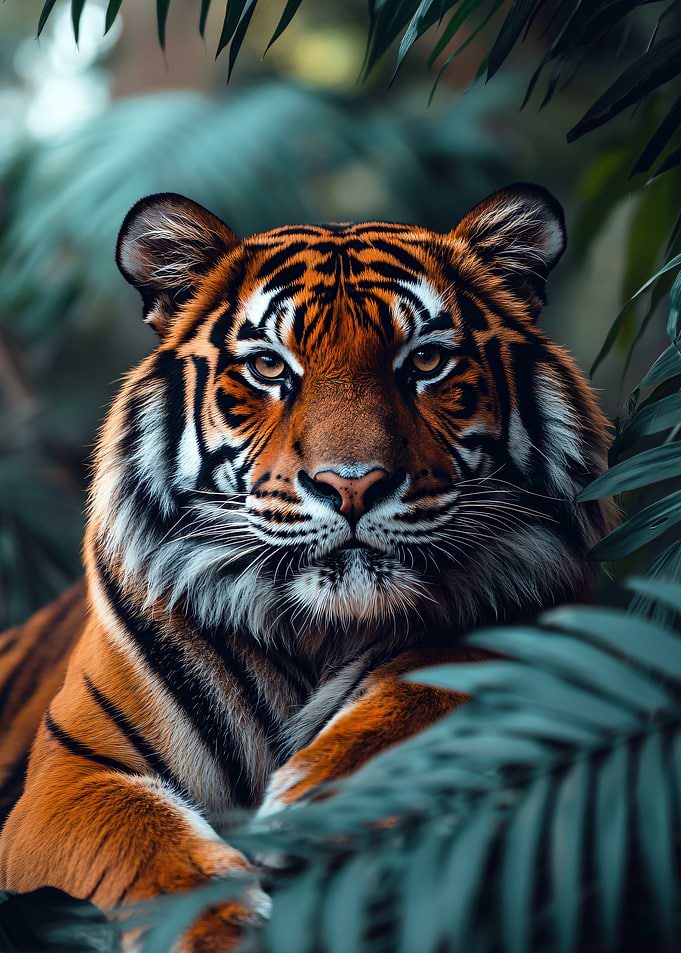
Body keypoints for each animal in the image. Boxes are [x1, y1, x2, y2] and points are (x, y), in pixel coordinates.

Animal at [0, 184, 616, 951]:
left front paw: (316, 805)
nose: (351, 485)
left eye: (424, 361)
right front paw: (218, 930)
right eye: (269, 368)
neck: (319, 629)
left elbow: (439, 680)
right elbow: (143, 846)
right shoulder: (73, 774)